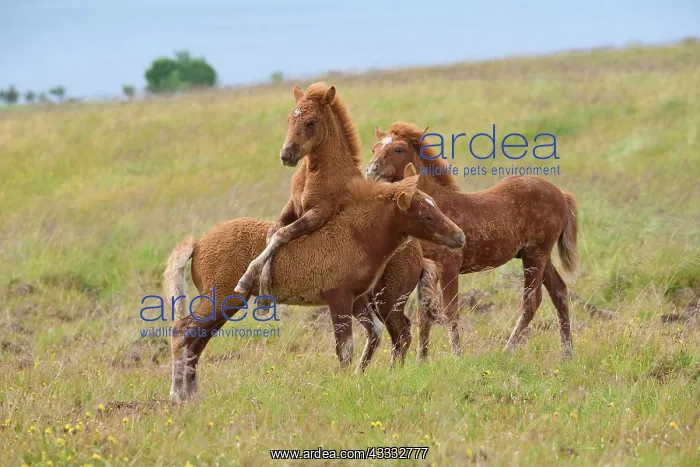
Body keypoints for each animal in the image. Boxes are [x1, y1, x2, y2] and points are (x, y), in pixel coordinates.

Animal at [165, 174, 464, 402]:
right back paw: (177, 397)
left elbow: (370, 335)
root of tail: (199, 243)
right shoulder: (339, 298)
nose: (459, 236)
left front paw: (356, 378)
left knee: (197, 340)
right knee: (183, 331)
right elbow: (345, 347)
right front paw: (345, 385)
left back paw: (192, 397)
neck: (356, 234)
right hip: (222, 299)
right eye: (425, 216)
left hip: (226, 304)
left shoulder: (356, 299)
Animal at [233, 82, 435, 366]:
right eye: (289, 119)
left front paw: (248, 286)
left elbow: (281, 236)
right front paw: (262, 293)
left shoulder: (317, 214)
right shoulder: (292, 209)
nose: (287, 155)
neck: (317, 172)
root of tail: (419, 256)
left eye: (311, 122)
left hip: (388, 300)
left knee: (401, 333)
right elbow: (273, 234)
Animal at [365, 121, 579, 359]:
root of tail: (561, 194)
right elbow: (425, 314)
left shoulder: (449, 265)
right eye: (374, 148)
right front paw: (422, 359)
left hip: (535, 254)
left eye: (399, 149)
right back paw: (567, 353)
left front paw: (457, 356)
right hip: (538, 255)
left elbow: (449, 311)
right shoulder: (427, 270)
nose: (371, 171)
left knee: (532, 300)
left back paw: (507, 350)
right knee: (559, 291)